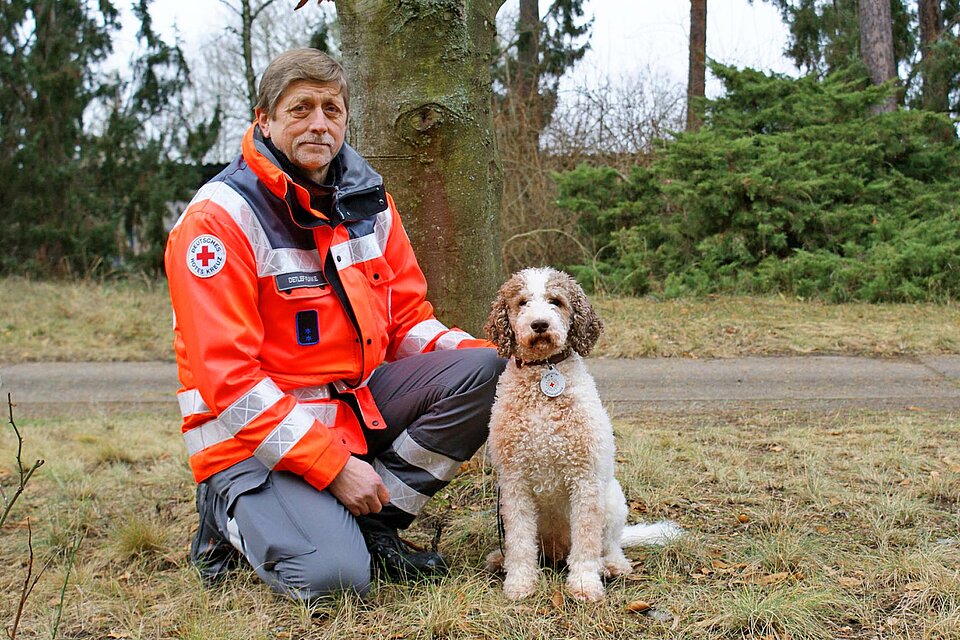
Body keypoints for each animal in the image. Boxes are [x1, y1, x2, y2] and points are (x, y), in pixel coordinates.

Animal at [484, 268, 680, 604]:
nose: (540, 324)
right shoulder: (514, 483)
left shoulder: (585, 479)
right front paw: (520, 582)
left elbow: (587, 541)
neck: (543, 375)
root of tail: (556, 550)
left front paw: (585, 583)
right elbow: (520, 540)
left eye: (556, 301)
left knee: (609, 544)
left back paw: (612, 566)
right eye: (522, 302)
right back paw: (502, 560)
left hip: (612, 500)